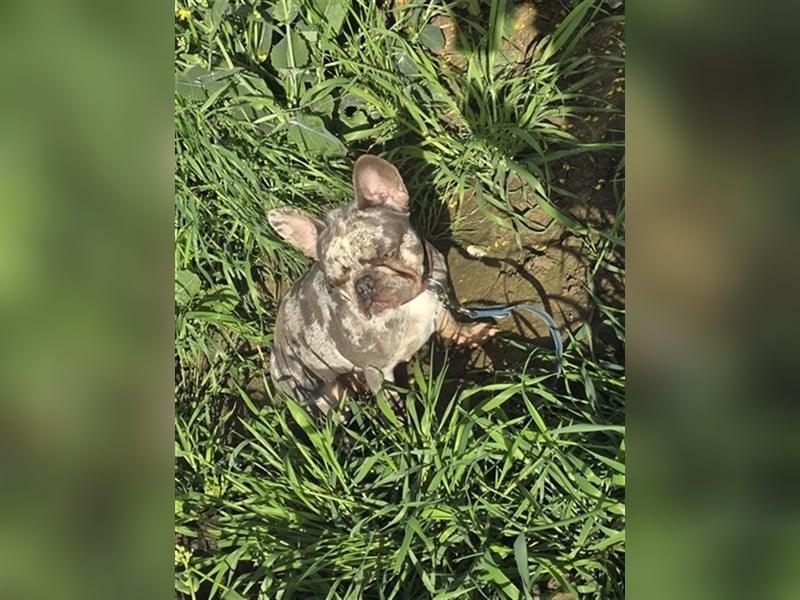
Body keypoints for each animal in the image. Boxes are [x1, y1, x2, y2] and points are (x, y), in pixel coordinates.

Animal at [268, 152, 494, 414]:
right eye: (336, 283)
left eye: (387, 254)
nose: (363, 285)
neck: (407, 303)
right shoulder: (378, 372)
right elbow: (391, 403)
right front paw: (403, 419)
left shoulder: (440, 300)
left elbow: (451, 324)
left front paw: (472, 334)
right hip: (321, 395)